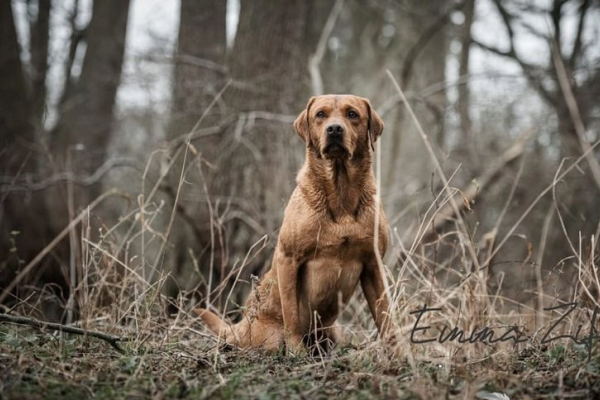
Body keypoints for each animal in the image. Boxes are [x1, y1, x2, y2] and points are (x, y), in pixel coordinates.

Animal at [195, 94, 392, 354]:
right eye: (320, 114)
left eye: (352, 114)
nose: (334, 129)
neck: (340, 194)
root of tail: (240, 326)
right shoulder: (288, 259)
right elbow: (291, 314)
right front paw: (296, 352)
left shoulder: (373, 264)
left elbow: (386, 314)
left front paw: (399, 352)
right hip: (267, 336)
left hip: (332, 331)